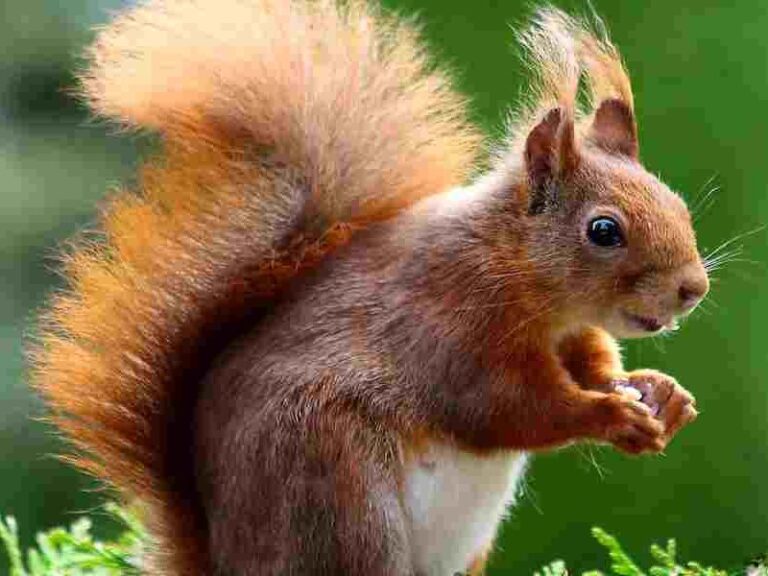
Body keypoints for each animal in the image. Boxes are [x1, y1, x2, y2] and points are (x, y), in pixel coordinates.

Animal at [31, 0, 710, 574]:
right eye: (604, 230)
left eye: (675, 202)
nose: (693, 289)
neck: (520, 273)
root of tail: (229, 561)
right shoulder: (450, 322)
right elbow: (507, 407)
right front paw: (608, 414)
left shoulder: (570, 335)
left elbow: (594, 364)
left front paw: (660, 393)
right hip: (341, 496)